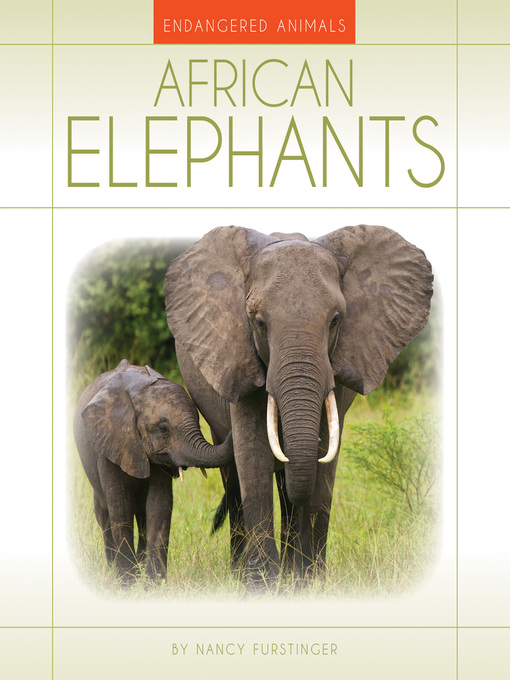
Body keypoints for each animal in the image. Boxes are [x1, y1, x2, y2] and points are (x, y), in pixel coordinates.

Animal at [73, 359, 233, 583]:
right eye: (163, 428)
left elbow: (159, 504)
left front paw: (154, 583)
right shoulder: (109, 444)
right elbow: (120, 506)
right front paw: (127, 582)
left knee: (142, 517)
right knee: (104, 514)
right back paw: (113, 569)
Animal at [164, 225, 433, 589]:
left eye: (335, 321)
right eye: (259, 322)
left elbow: (322, 461)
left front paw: (309, 584)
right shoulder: (238, 355)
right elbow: (253, 458)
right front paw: (260, 587)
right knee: (234, 479)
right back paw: (240, 572)